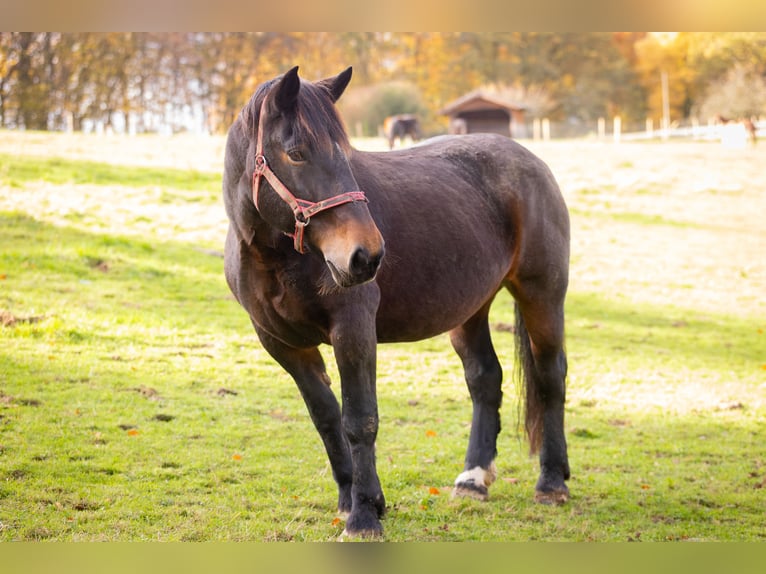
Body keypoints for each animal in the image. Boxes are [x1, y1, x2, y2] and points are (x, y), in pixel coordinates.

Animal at [222, 66, 571, 538]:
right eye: (295, 153)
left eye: (346, 153)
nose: (367, 256)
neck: (277, 259)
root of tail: (529, 159)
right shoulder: (283, 345)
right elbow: (327, 419)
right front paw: (351, 501)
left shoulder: (353, 330)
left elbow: (359, 421)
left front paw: (364, 517)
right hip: (469, 310)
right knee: (484, 378)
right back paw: (473, 479)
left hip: (542, 295)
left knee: (551, 376)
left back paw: (552, 482)